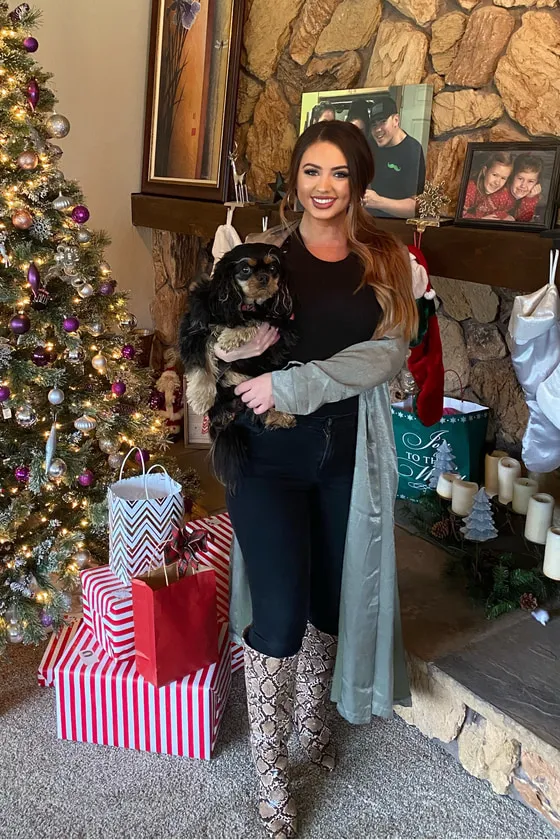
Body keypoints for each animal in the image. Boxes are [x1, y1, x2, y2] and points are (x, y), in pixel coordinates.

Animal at [180, 241, 300, 486]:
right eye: (245, 269)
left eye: (273, 269)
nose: (264, 277)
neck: (243, 304)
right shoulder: (193, 330)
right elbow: (200, 364)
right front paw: (200, 397)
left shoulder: (282, 322)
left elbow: (258, 318)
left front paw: (231, 336)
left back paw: (280, 416)